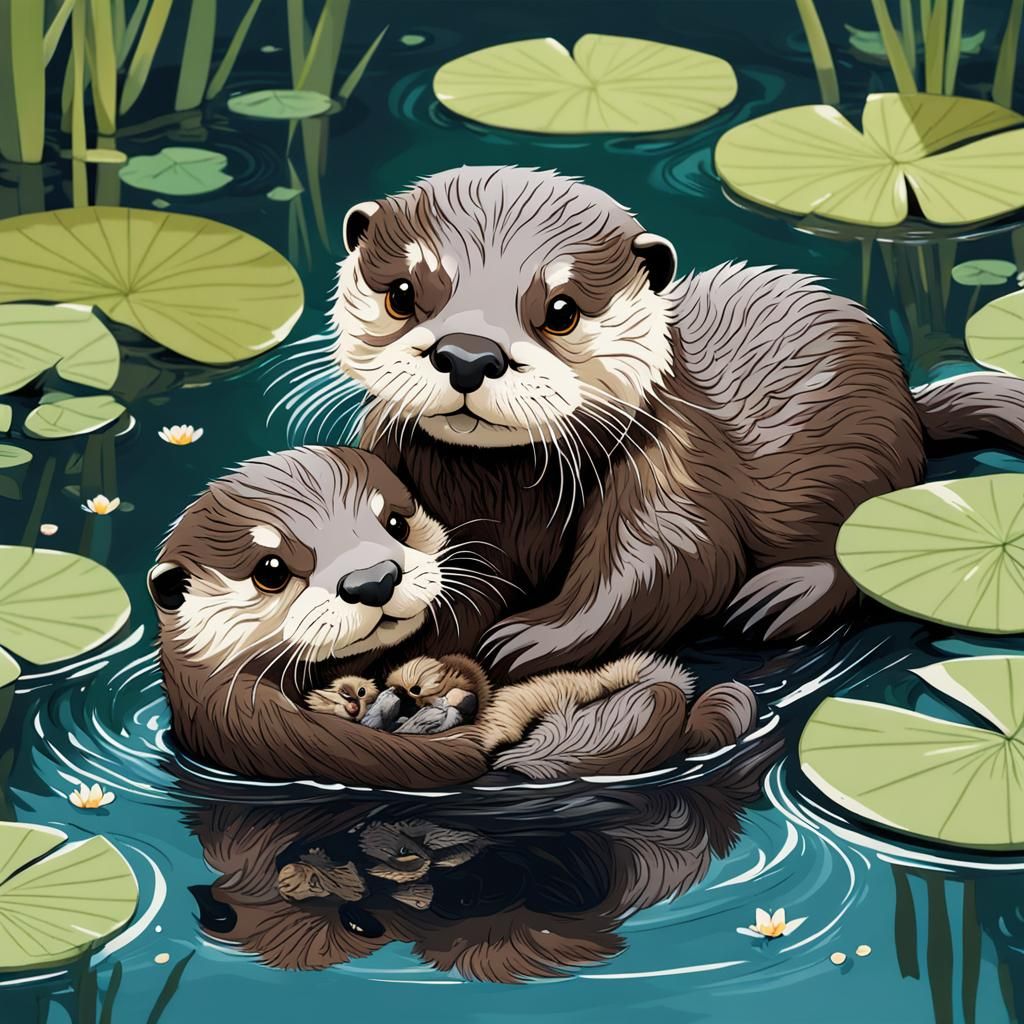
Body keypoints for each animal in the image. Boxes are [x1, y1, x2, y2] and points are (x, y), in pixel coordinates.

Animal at [329, 165, 1024, 681]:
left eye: (561, 310)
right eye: (402, 292)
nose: (469, 354)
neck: (508, 499)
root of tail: (909, 401)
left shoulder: (672, 471)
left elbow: (669, 566)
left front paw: (530, 636)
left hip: (868, 465)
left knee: (856, 556)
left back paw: (780, 597)